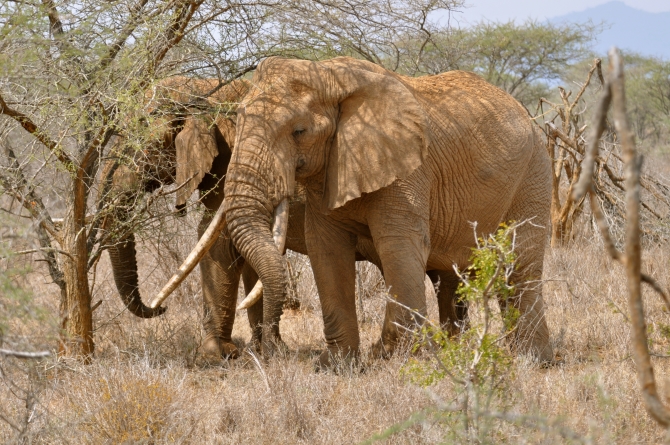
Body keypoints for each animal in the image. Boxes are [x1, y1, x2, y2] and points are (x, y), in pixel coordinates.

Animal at [167, 56, 554, 367]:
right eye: (240, 119)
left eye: (299, 131)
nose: (272, 355)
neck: (331, 78)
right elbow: (326, 251)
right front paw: (337, 365)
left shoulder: (408, 169)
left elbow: (398, 247)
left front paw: (393, 359)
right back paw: (458, 352)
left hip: (534, 173)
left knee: (520, 264)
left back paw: (531, 360)